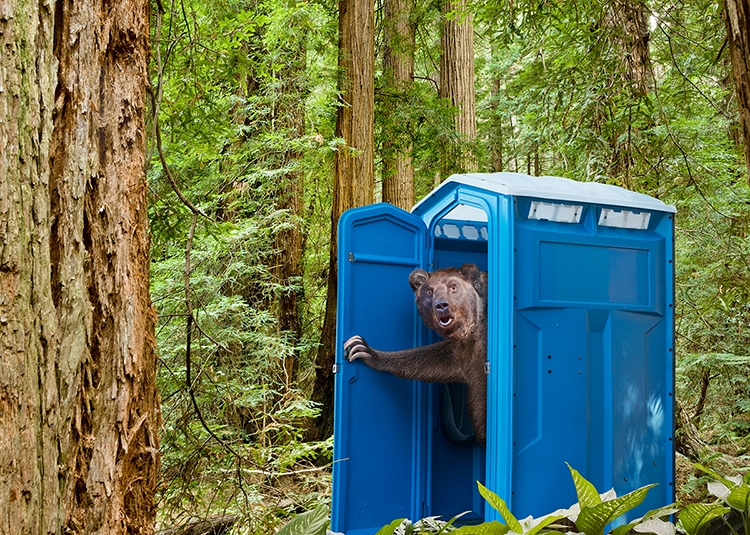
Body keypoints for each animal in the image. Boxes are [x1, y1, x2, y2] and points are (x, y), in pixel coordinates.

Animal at [344, 263, 488, 445]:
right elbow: (435, 362)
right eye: (430, 291)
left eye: (453, 287)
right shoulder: (462, 351)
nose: (441, 305)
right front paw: (363, 349)